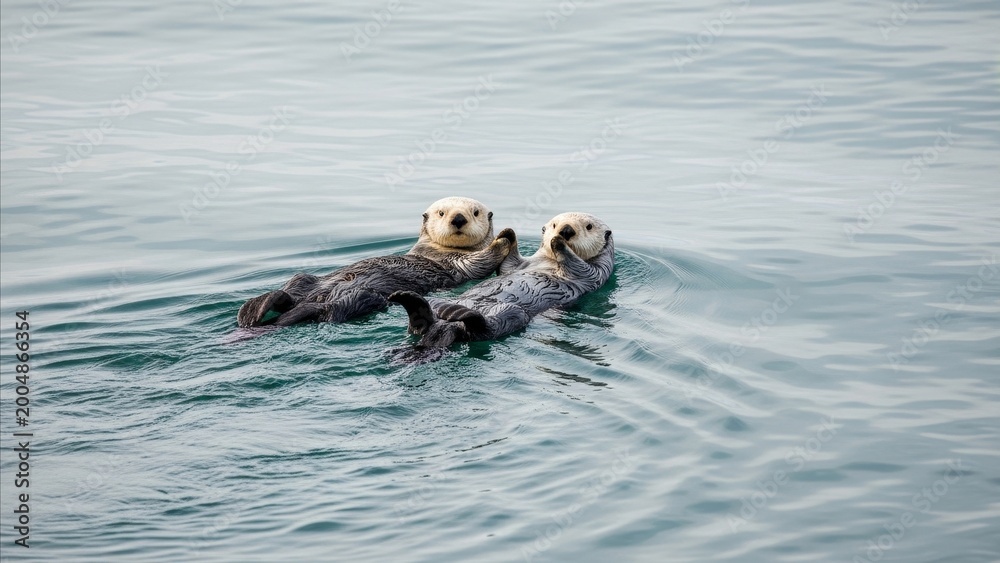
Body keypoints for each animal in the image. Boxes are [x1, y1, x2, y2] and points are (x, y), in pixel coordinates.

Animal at [237, 197, 515, 328]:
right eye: (441, 213)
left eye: (475, 213)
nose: (458, 219)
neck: (438, 249)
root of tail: (315, 299)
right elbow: (479, 260)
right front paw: (505, 237)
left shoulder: (462, 265)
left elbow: (478, 261)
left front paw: (504, 236)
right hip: (309, 283)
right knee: (297, 292)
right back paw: (253, 310)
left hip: (360, 297)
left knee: (326, 310)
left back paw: (254, 312)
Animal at [388, 212, 615, 349]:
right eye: (554, 224)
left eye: (588, 226)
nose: (565, 231)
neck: (549, 261)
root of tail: (448, 327)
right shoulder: (521, 264)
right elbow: (508, 264)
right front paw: (507, 233)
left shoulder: (595, 273)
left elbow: (580, 268)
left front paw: (559, 243)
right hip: (436, 305)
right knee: (421, 323)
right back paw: (415, 304)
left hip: (511, 314)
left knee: (484, 329)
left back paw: (463, 314)